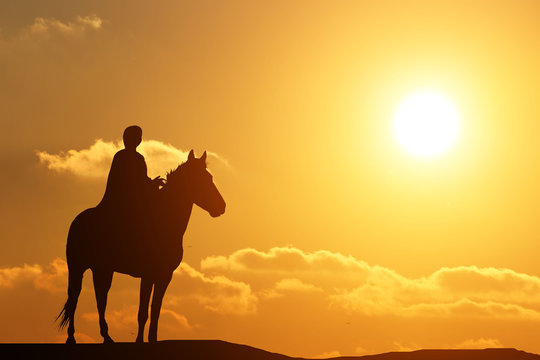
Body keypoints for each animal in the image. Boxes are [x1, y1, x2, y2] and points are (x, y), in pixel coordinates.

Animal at [58, 149, 227, 344]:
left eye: (210, 177)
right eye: (201, 179)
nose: (221, 207)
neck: (164, 222)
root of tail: (77, 220)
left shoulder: (165, 276)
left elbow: (155, 310)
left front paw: (153, 339)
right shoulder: (147, 274)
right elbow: (143, 311)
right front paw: (139, 341)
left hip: (103, 269)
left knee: (101, 298)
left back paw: (107, 336)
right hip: (77, 267)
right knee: (74, 297)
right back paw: (71, 337)